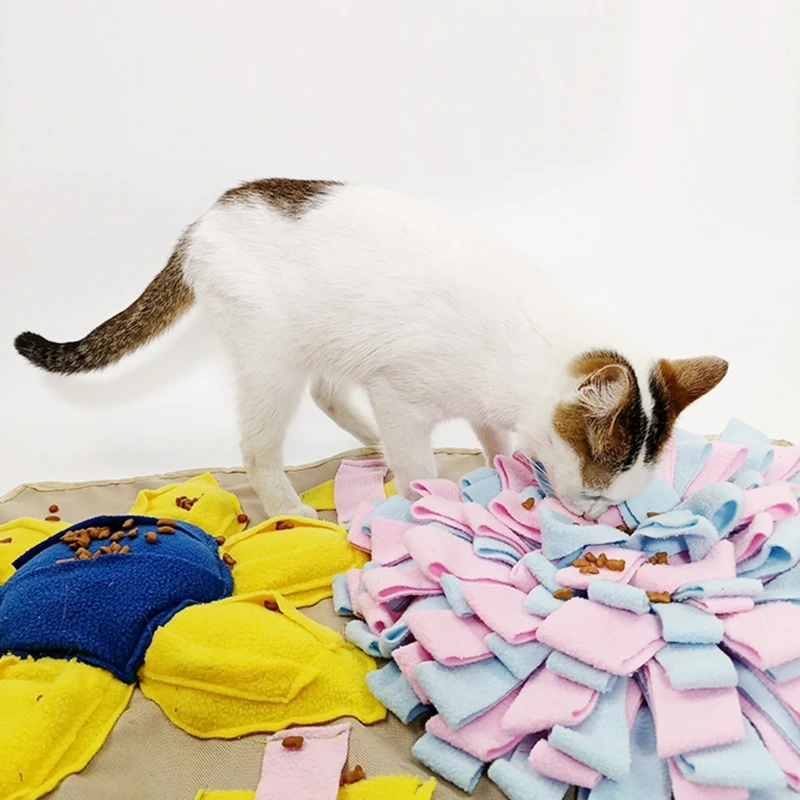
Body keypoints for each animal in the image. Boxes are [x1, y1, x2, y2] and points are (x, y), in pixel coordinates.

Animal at [14, 178, 728, 520]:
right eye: (596, 487)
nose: (590, 514)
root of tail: (201, 223)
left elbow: (493, 438)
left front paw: (500, 465)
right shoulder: (402, 396)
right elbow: (417, 467)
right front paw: (423, 506)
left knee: (330, 393)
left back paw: (366, 441)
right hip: (272, 358)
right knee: (259, 446)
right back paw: (291, 507)